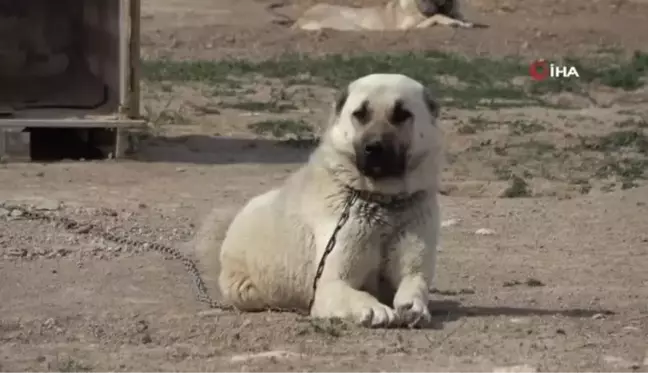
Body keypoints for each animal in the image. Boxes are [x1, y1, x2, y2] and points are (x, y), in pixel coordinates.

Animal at [195, 72, 442, 326]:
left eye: (402, 114)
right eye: (360, 114)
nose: (374, 147)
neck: (382, 201)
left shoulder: (414, 271)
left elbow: (415, 285)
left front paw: (414, 307)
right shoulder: (331, 284)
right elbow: (358, 294)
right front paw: (375, 309)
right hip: (248, 291)